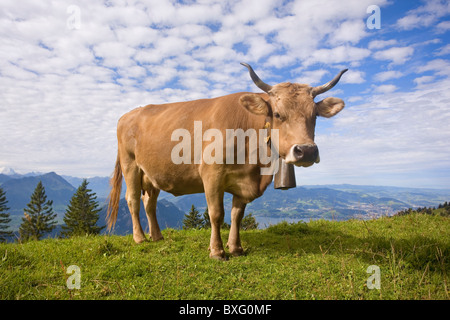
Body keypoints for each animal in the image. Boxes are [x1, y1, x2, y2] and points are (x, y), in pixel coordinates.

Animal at [106, 63, 348, 260]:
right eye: (278, 114)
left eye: (315, 115)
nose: (306, 151)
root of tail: (129, 114)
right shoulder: (212, 174)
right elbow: (216, 214)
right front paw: (217, 251)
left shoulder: (243, 182)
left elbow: (237, 215)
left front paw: (236, 248)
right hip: (130, 165)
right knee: (133, 200)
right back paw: (140, 238)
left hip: (152, 173)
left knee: (150, 202)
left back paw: (157, 236)